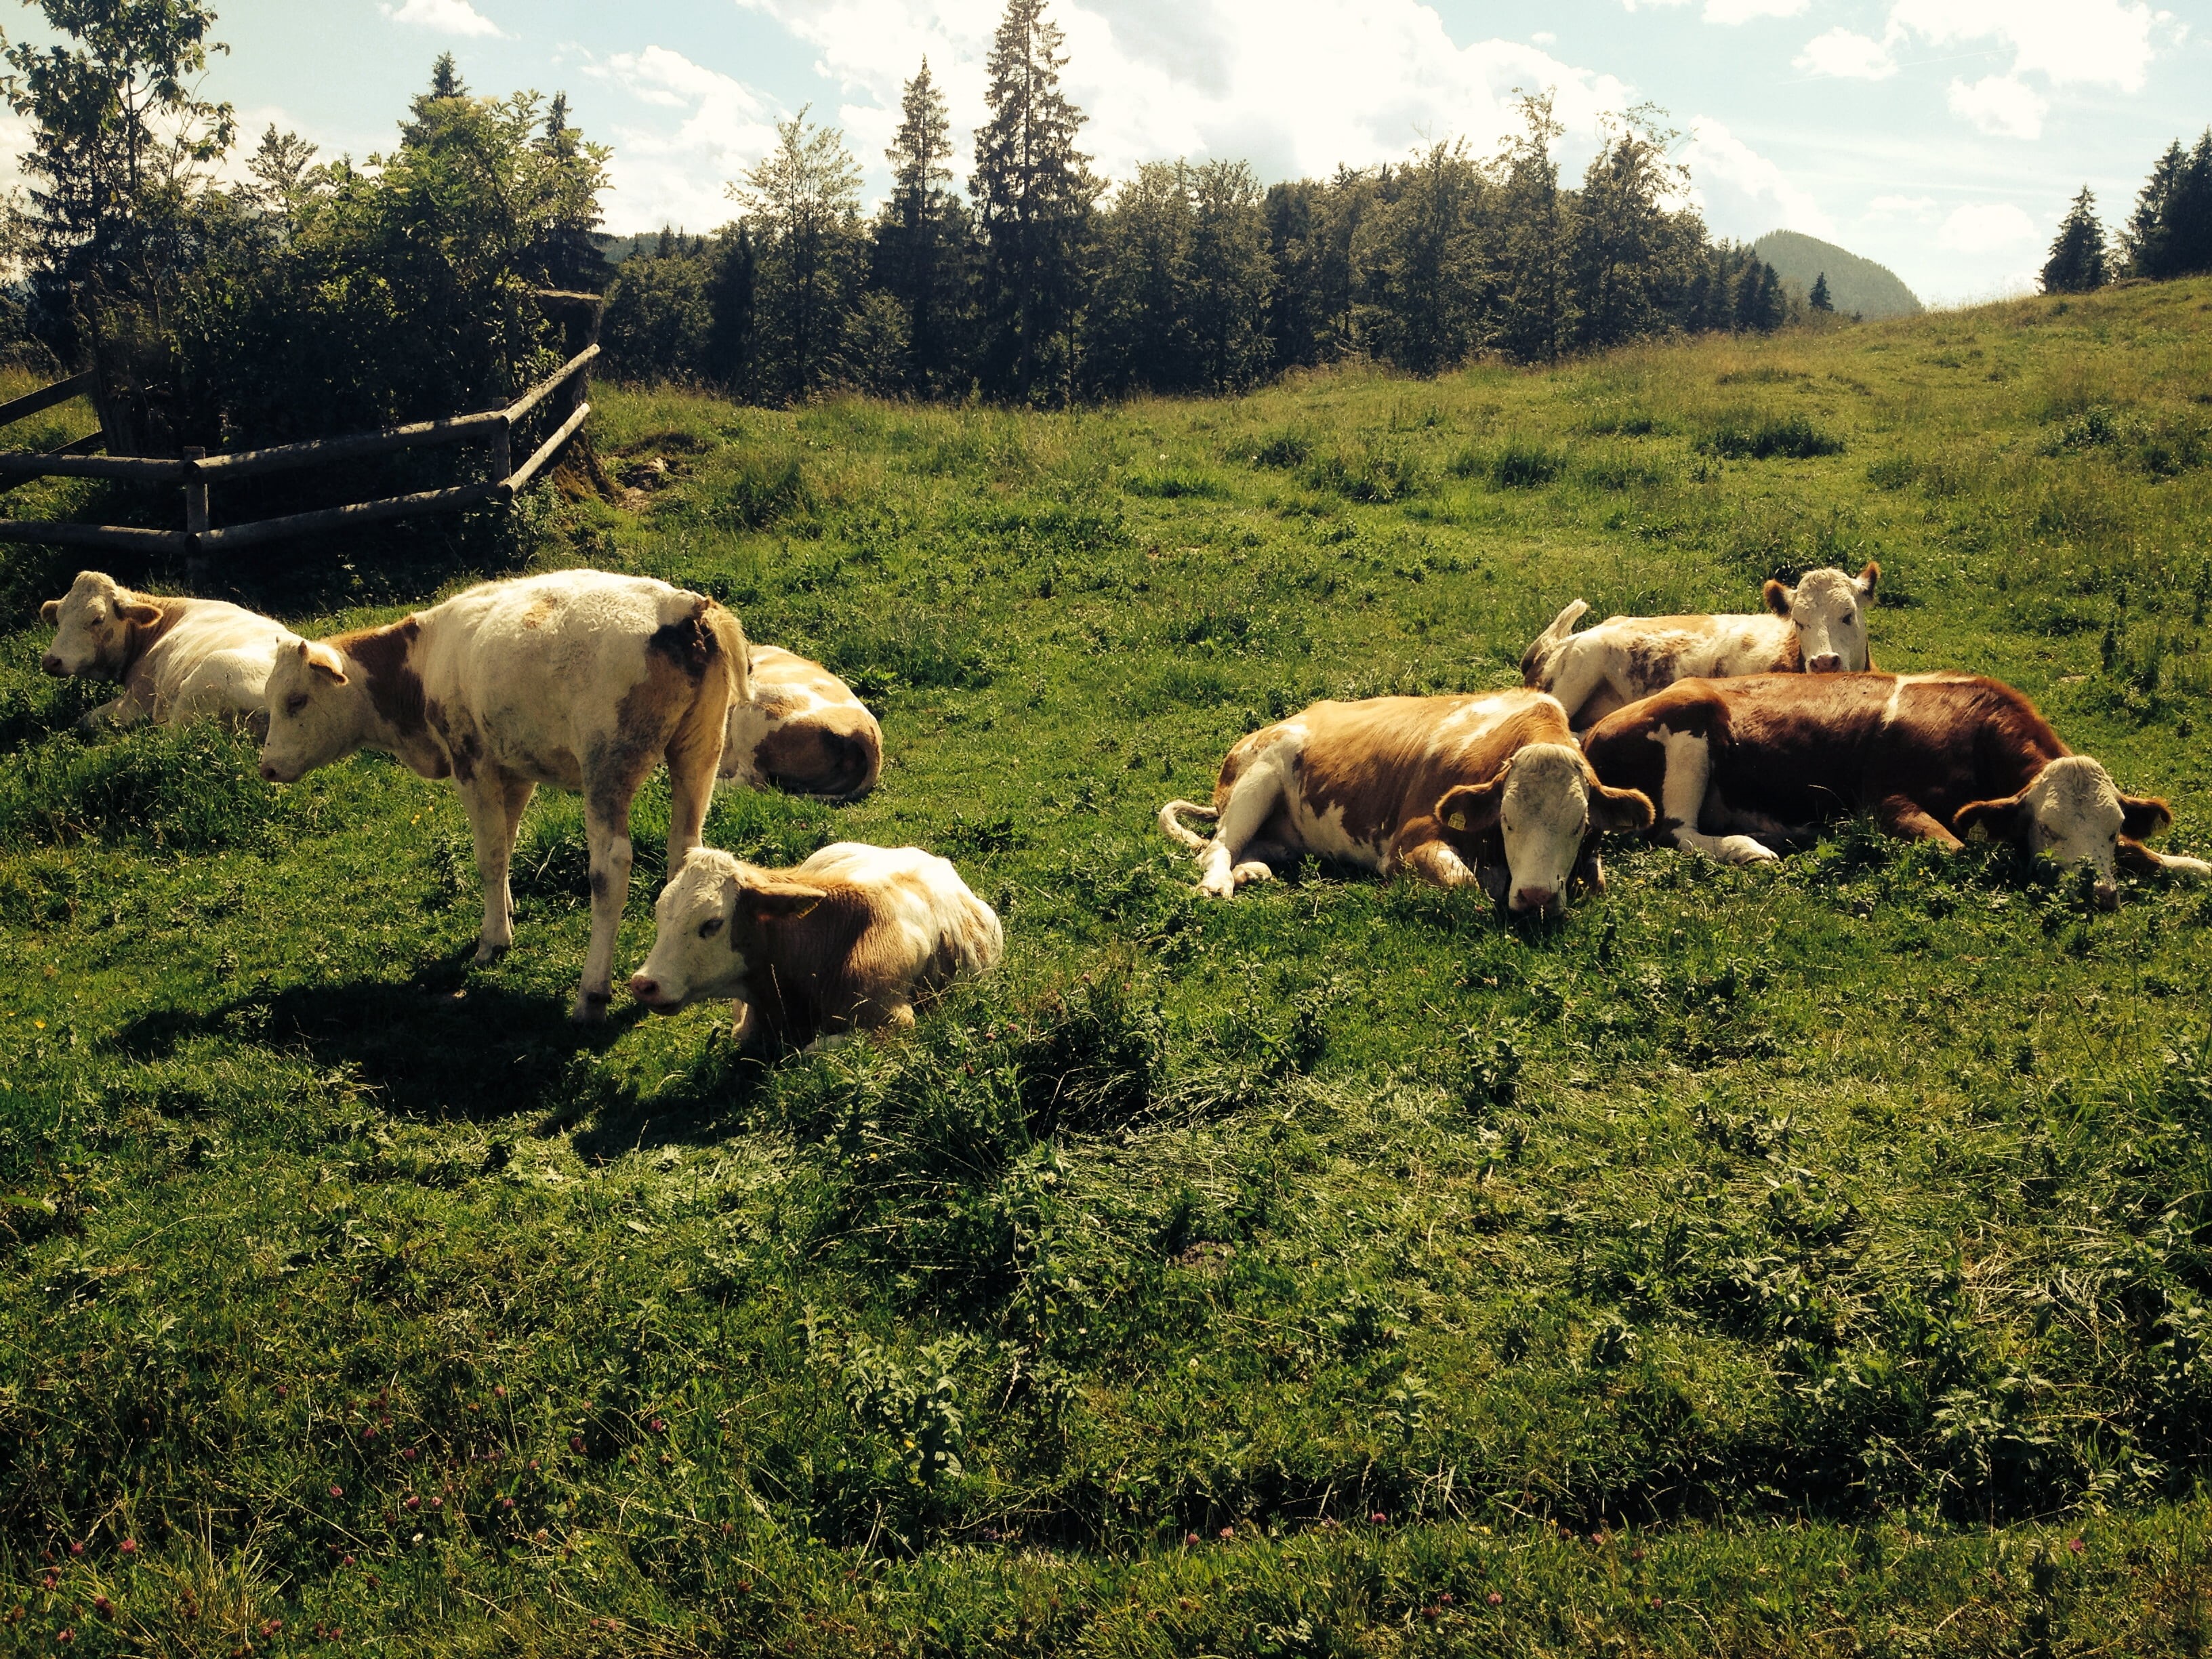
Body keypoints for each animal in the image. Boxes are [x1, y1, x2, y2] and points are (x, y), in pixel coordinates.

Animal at [257, 570, 748, 1021]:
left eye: (296, 701)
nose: (267, 768)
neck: (423, 659)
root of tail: (682, 606)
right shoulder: (515, 771)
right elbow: (508, 844)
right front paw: (507, 910)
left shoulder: (472, 767)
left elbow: (489, 855)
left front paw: (493, 938)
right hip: (699, 750)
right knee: (684, 846)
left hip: (607, 765)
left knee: (609, 869)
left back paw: (592, 991)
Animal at [1158, 690, 1655, 915]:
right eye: (1507, 820)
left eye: (1580, 825)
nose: (1536, 897)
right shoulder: (1408, 843)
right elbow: (1464, 883)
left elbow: (1595, 882)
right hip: (1261, 775)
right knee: (1217, 846)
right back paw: (1219, 882)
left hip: (1287, 831)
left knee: (1253, 847)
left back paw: (1252, 871)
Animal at [1579, 672, 2212, 906]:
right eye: (2049, 827)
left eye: (2112, 828)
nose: (2098, 892)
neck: (1973, 728)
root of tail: (1593, 731)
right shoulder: (1883, 802)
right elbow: (1958, 851)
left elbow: (2150, 855)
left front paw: (2188, 864)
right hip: (1690, 728)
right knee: (1673, 830)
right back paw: (1750, 848)